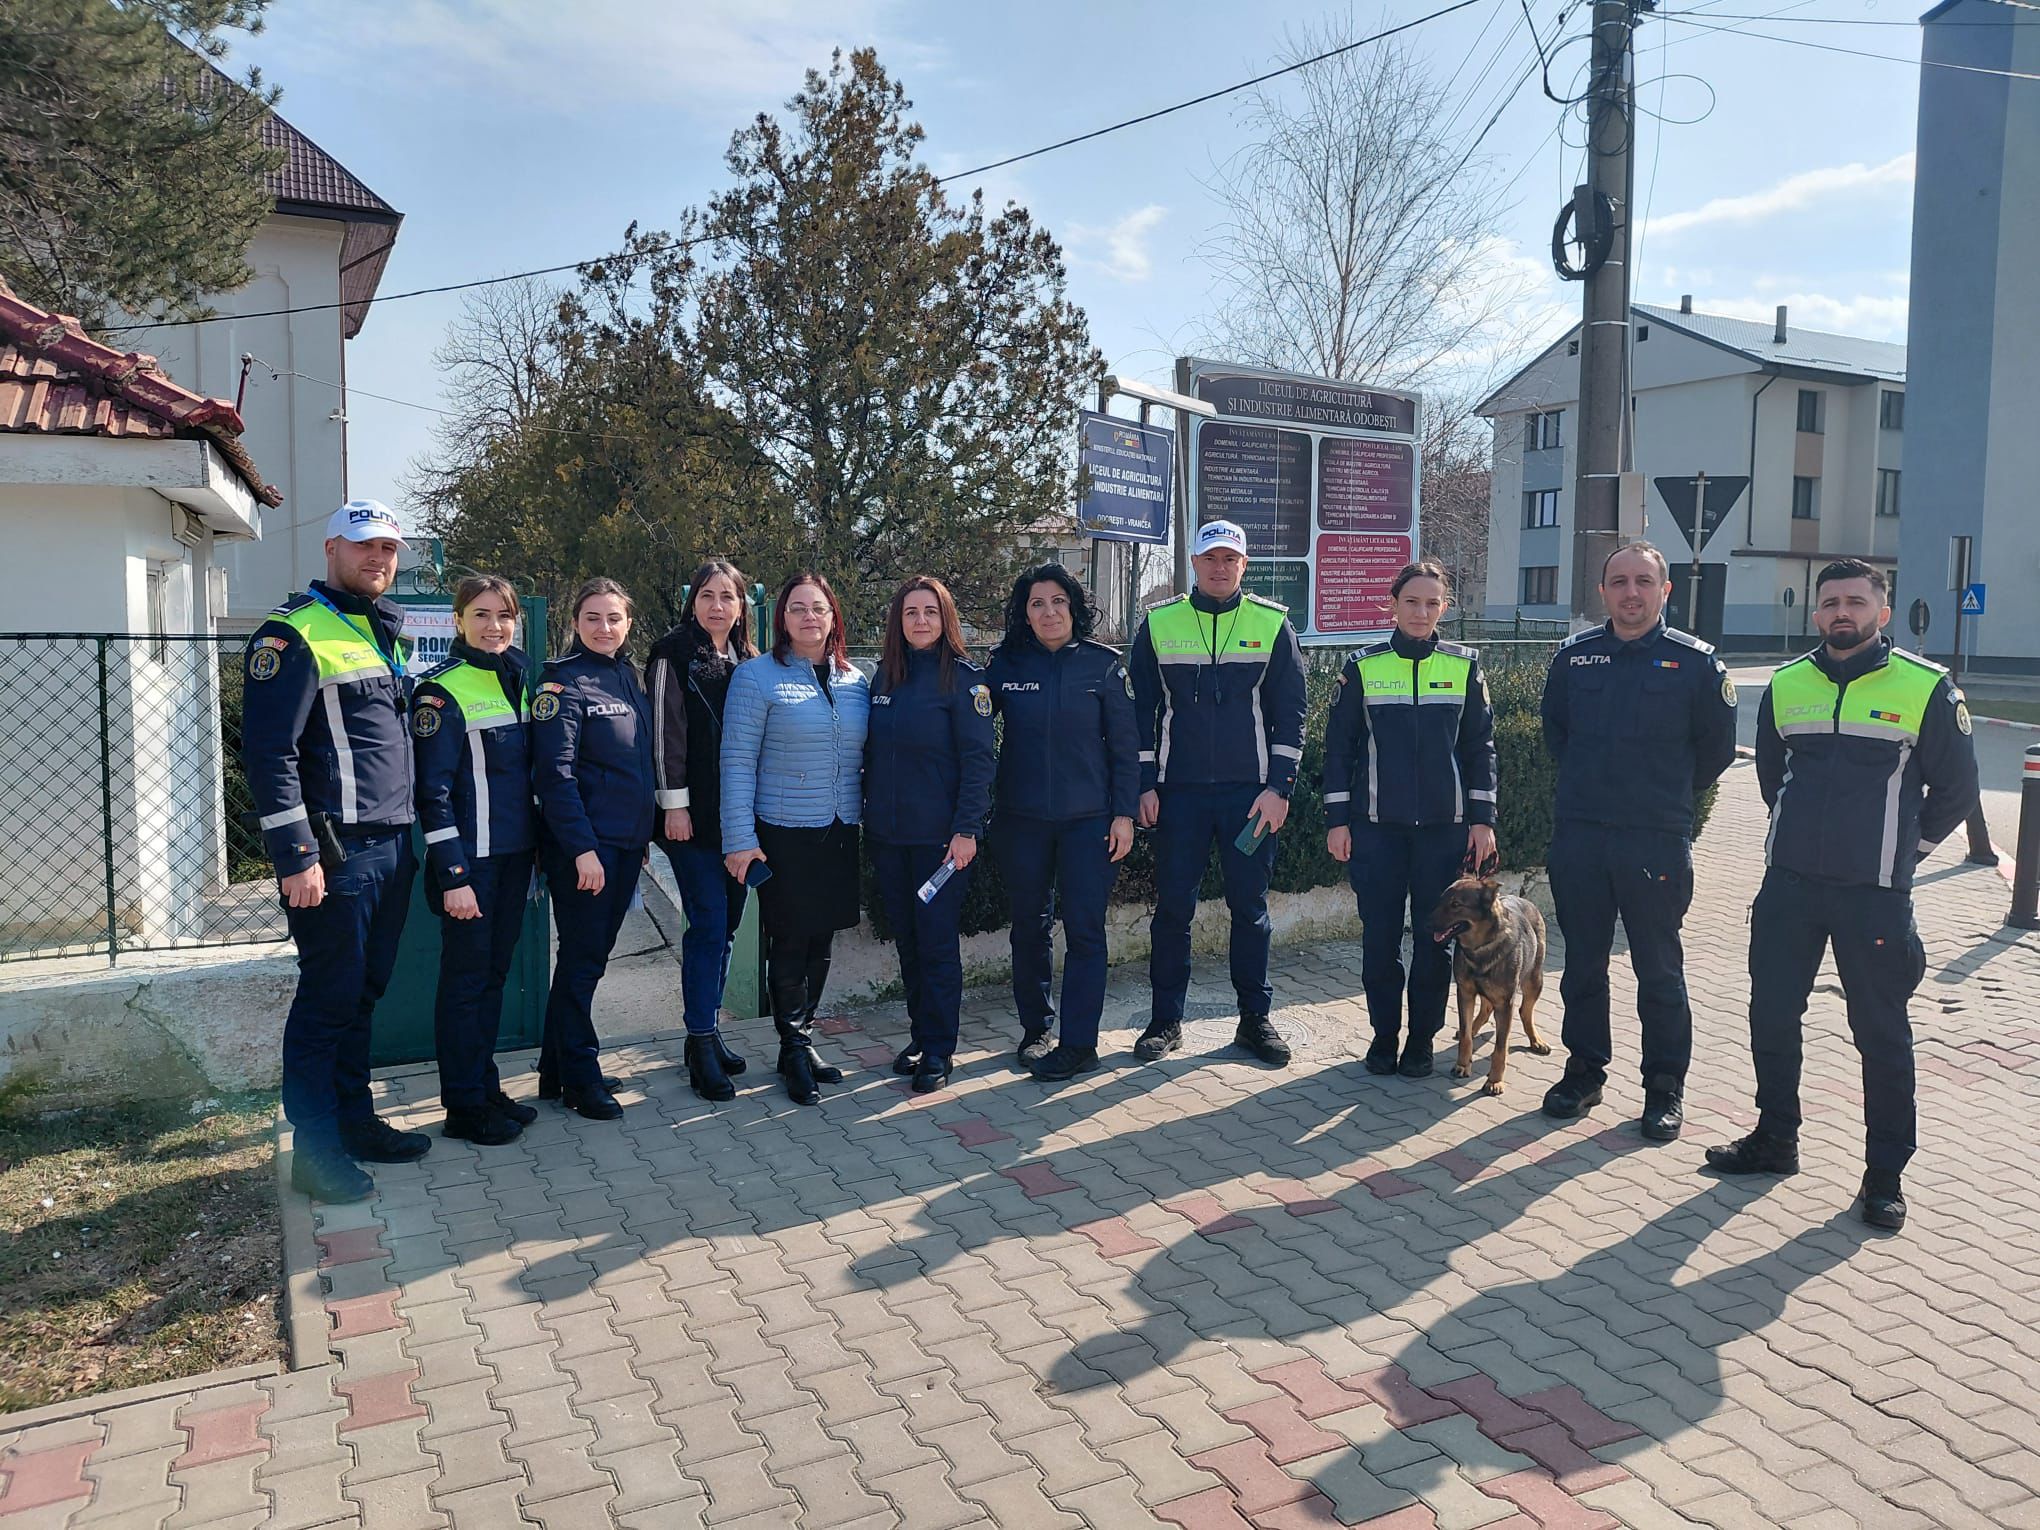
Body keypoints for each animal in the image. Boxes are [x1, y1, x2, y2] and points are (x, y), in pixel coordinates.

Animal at [1427, 876, 1551, 1095]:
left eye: (1456, 905)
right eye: (1441, 901)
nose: (1425, 924)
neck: (1480, 947)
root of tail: (1525, 900)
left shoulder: (1505, 1003)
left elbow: (1500, 1048)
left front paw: (1494, 1081)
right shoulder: (1465, 993)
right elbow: (1466, 1035)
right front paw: (1463, 1064)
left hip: (1534, 981)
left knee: (1525, 1011)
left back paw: (1536, 1040)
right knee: (1484, 1011)